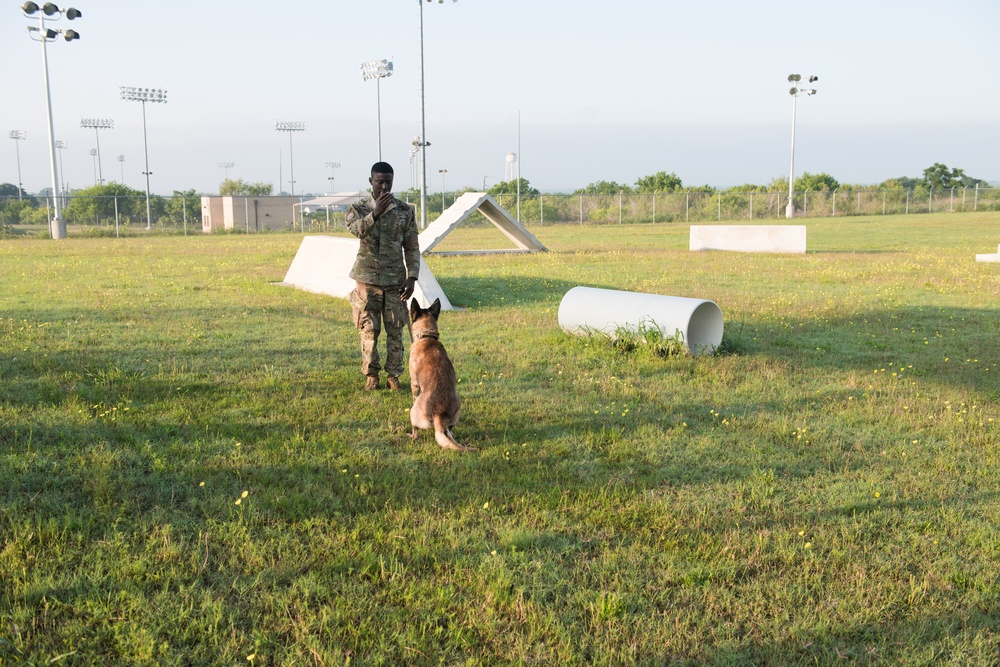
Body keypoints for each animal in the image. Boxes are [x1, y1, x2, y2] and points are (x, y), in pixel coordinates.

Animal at [410, 298, 480, 452]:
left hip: (413, 412)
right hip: (457, 407)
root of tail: (439, 414)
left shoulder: (414, 383)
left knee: (415, 429)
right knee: (449, 431)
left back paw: (412, 436)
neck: (427, 336)